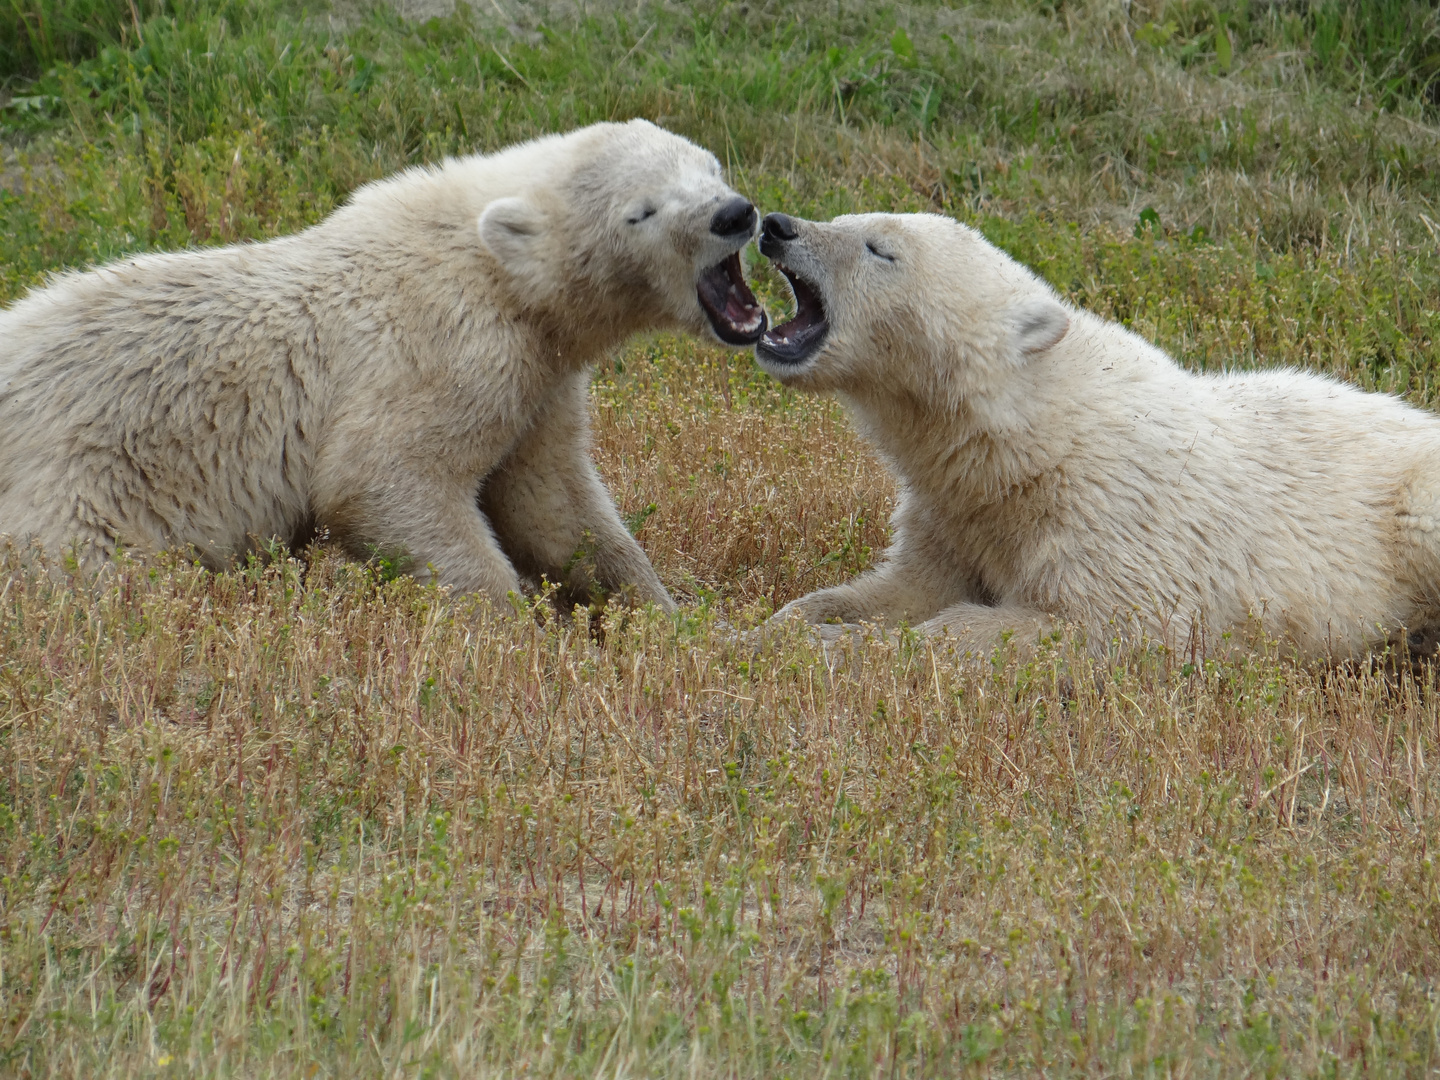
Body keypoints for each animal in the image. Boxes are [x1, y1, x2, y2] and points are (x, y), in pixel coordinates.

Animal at [0, 120, 771, 610]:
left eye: (708, 166)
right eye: (642, 210)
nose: (736, 214)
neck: (495, 268)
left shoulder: (541, 379)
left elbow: (552, 502)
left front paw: (667, 614)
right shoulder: (443, 349)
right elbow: (381, 478)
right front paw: (513, 636)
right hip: (85, 483)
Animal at [754, 208, 1440, 665]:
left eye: (880, 248)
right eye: (845, 215)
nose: (778, 225)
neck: (1029, 438)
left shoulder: (1109, 518)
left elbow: (1086, 623)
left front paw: (844, 648)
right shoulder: (952, 511)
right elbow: (905, 585)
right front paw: (779, 627)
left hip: (1413, 507)